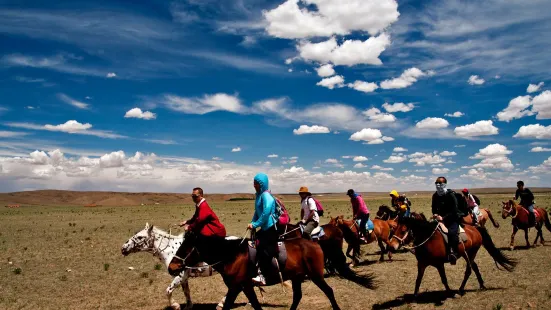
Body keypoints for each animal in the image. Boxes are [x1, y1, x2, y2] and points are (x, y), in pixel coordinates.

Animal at [179, 228, 378, 310]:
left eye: (185, 248)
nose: (174, 265)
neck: (231, 255)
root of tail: (315, 242)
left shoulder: (236, 286)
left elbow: (228, 305)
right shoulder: (246, 286)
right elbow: (255, 304)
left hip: (315, 275)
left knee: (328, 291)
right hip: (297, 277)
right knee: (297, 296)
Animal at [388, 216, 516, 298]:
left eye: (403, 230)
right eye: (394, 228)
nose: (392, 246)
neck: (429, 240)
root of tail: (475, 228)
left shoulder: (439, 264)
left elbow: (444, 279)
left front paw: (450, 293)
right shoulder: (421, 264)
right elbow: (418, 279)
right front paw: (414, 295)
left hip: (471, 253)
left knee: (469, 270)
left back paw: (460, 290)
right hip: (467, 254)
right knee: (474, 267)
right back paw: (482, 285)